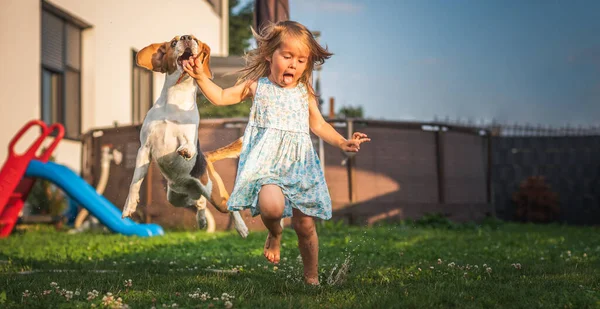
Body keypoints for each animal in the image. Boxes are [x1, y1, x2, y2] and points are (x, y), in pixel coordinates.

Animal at [122, 33, 248, 237]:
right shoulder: (144, 149)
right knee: (199, 202)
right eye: (173, 43)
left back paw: (242, 227)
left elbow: (187, 144)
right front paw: (129, 206)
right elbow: (135, 182)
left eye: (196, 40)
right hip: (176, 198)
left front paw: (186, 151)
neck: (177, 95)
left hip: (215, 193)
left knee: (228, 206)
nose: (187, 37)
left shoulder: (188, 137)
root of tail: (206, 158)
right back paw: (202, 220)